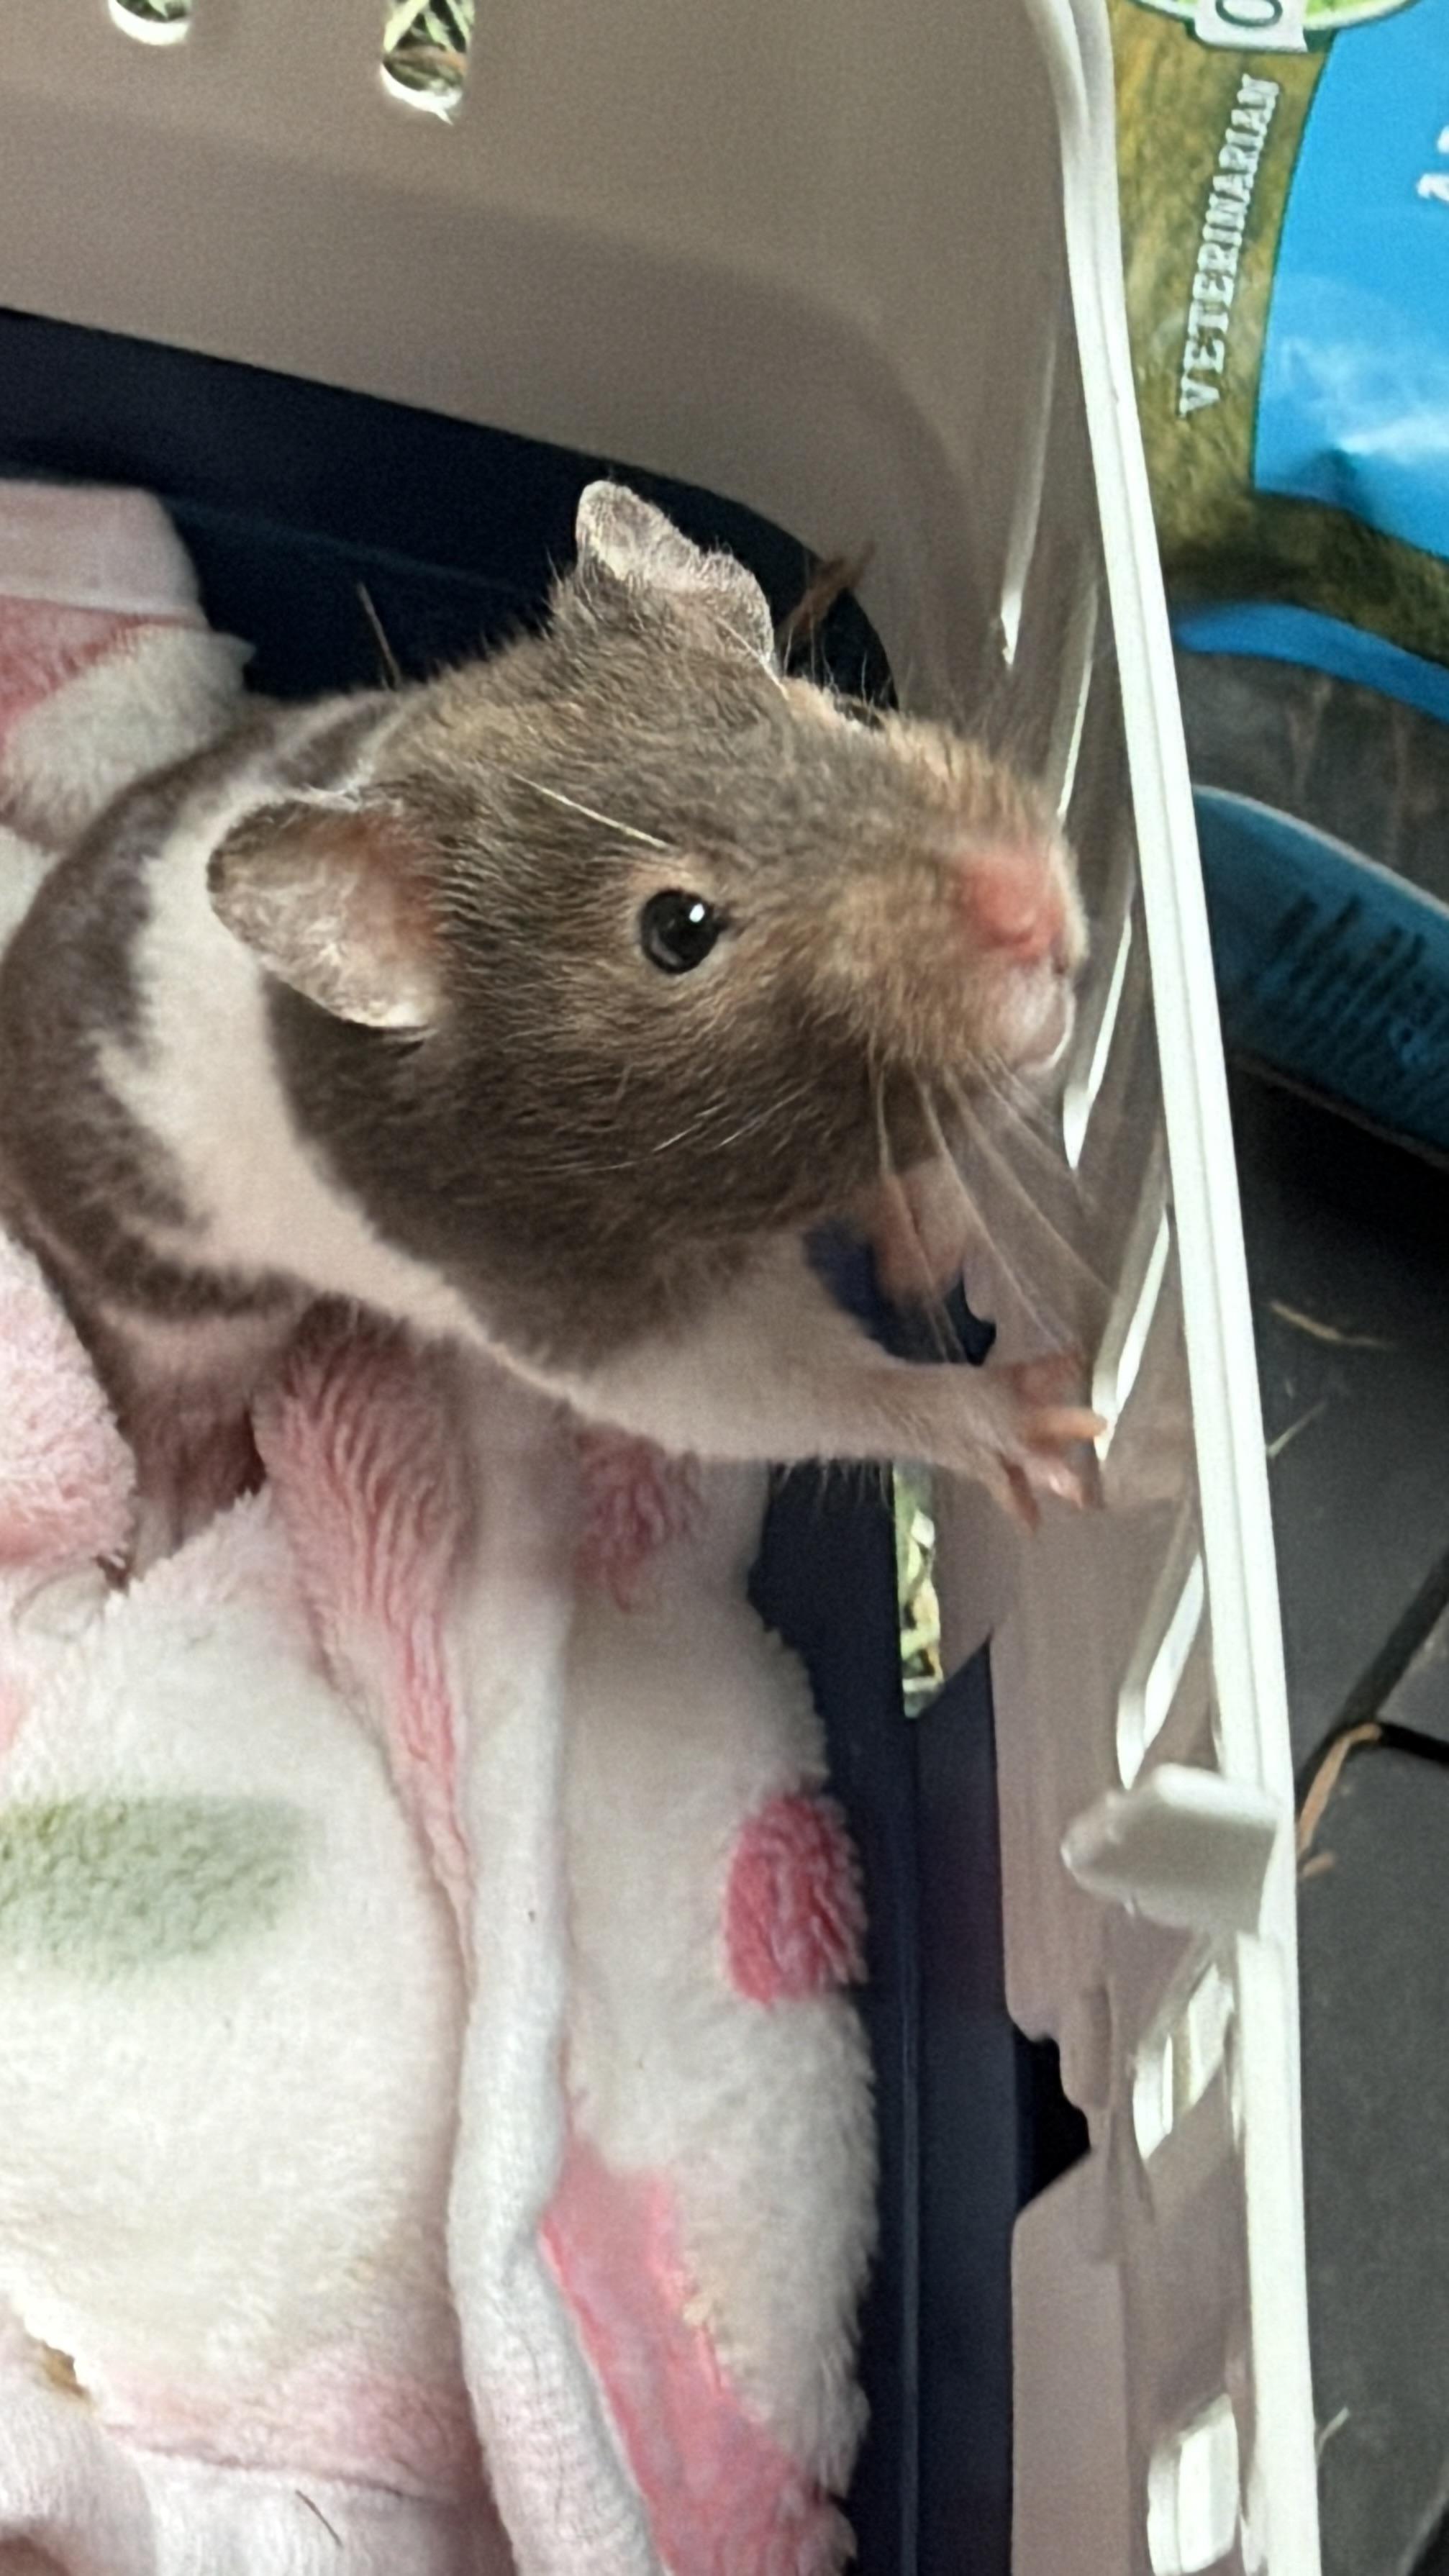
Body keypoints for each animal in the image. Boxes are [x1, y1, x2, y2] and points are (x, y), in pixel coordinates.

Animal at [0, 481, 1096, 1554]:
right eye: (677, 929)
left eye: (852, 716)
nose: (1037, 908)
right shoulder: (610, 1333)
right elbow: (817, 1389)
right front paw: (1053, 1425)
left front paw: (932, 1248)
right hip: (184, 1312)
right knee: (173, 1413)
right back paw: (187, 1511)